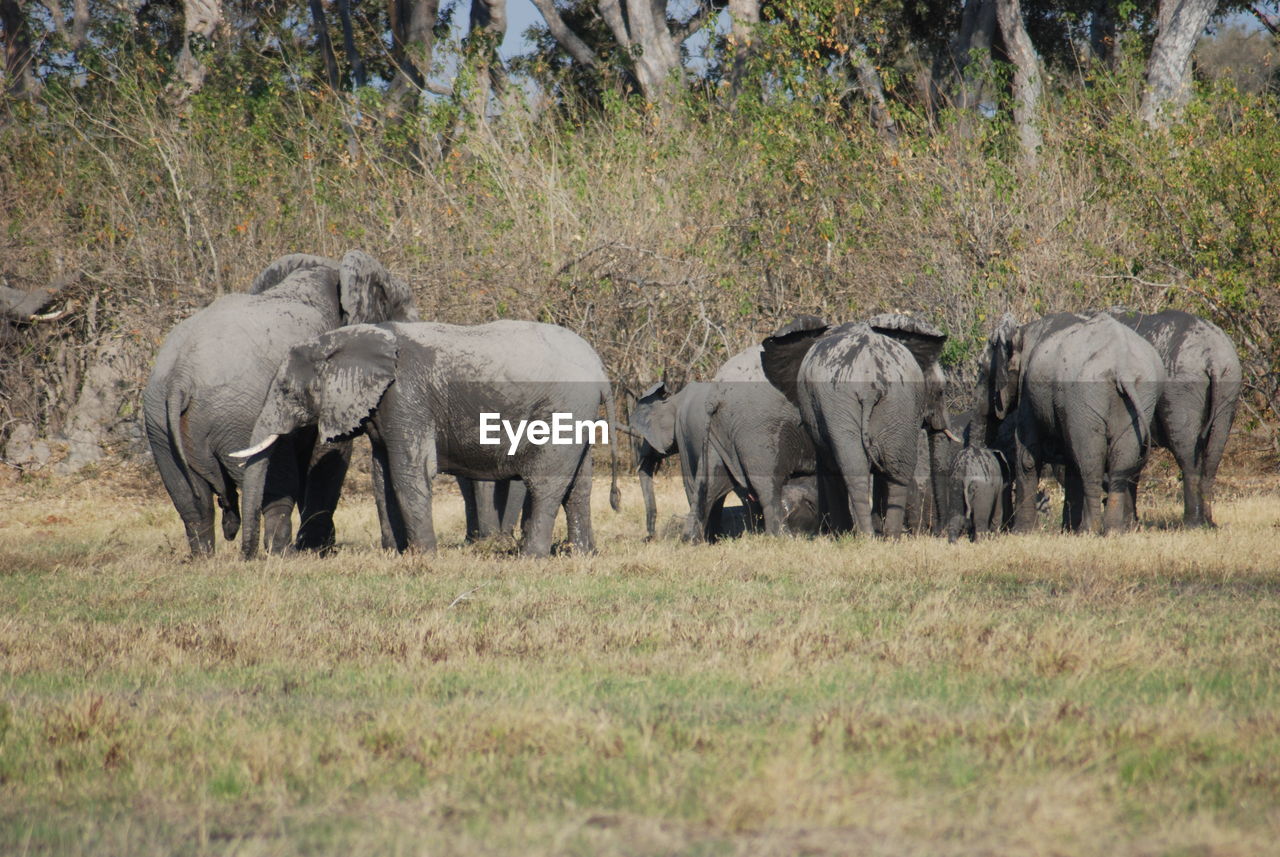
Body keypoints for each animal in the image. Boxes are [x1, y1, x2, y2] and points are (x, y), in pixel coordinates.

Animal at [144, 250, 414, 557]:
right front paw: (318, 550)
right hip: (237, 417)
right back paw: (282, 553)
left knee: (191, 502)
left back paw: (205, 558)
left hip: (159, 425)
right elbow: (330, 452)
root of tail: (181, 376)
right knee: (272, 484)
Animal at [236, 322, 624, 557]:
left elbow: (410, 473)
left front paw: (423, 557)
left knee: (544, 484)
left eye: (287, 391)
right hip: (577, 413)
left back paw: (530, 558)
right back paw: (582, 555)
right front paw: (395, 554)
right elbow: (382, 478)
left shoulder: (406, 398)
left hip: (562, 409)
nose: (249, 557)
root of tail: (600, 368)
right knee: (578, 486)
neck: (348, 338)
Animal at [757, 312, 952, 539]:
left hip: (852, 402)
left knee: (856, 467)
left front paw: (840, 534)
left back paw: (868, 536)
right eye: (940, 392)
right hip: (890, 400)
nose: (939, 531)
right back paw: (888, 537)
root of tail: (871, 384)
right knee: (895, 466)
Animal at [972, 312, 1167, 534]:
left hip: (1085, 394)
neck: (1022, 331)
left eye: (980, 369)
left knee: (1090, 461)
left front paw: (1022, 532)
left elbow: (1027, 457)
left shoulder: (1028, 392)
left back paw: (1089, 530)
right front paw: (1067, 530)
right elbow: (1070, 460)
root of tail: (1122, 366)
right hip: (1142, 395)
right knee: (1120, 462)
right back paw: (1112, 530)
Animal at [1111, 305, 1239, 526]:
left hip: (1181, 387)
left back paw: (1192, 523)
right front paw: (1132, 523)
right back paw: (1209, 523)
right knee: (1212, 457)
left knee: (1187, 454)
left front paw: (1128, 524)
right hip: (1229, 384)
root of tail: (1212, 356)